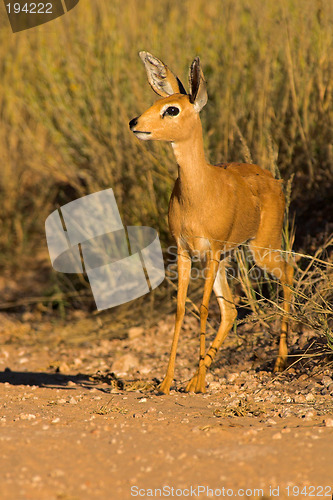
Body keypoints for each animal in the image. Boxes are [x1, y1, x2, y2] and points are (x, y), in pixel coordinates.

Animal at [128, 50, 292, 394]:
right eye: (158, 101)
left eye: (172, 109)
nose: (135, 123)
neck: (198, 193)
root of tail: (273, 179)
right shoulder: (184, 251)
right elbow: (181, 309)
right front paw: (167, 382)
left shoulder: (213, 249)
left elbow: (202, 308)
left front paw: (200, 382)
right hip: (225, 258)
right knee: (230, 308)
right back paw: (195, 377)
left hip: (259, 248)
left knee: (287, 271)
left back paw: (279, 361)